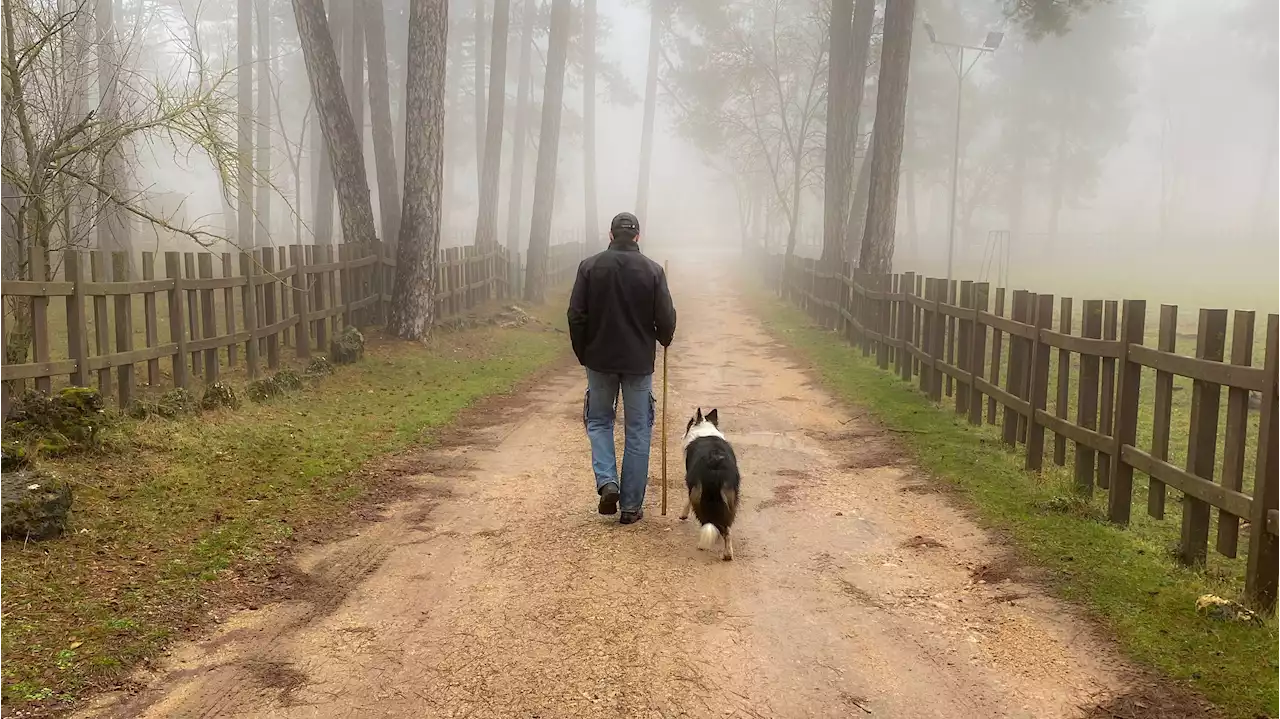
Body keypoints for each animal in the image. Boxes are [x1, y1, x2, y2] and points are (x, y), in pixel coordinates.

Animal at [680, 409, 742, 560]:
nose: (682, 435)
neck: (704, 429)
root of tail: (715, 463)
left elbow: (687, 500)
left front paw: (683, 514)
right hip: (730, 497)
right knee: (727, 528)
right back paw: (727, 554)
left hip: (698, 494)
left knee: (706, 520)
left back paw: (703, 543)